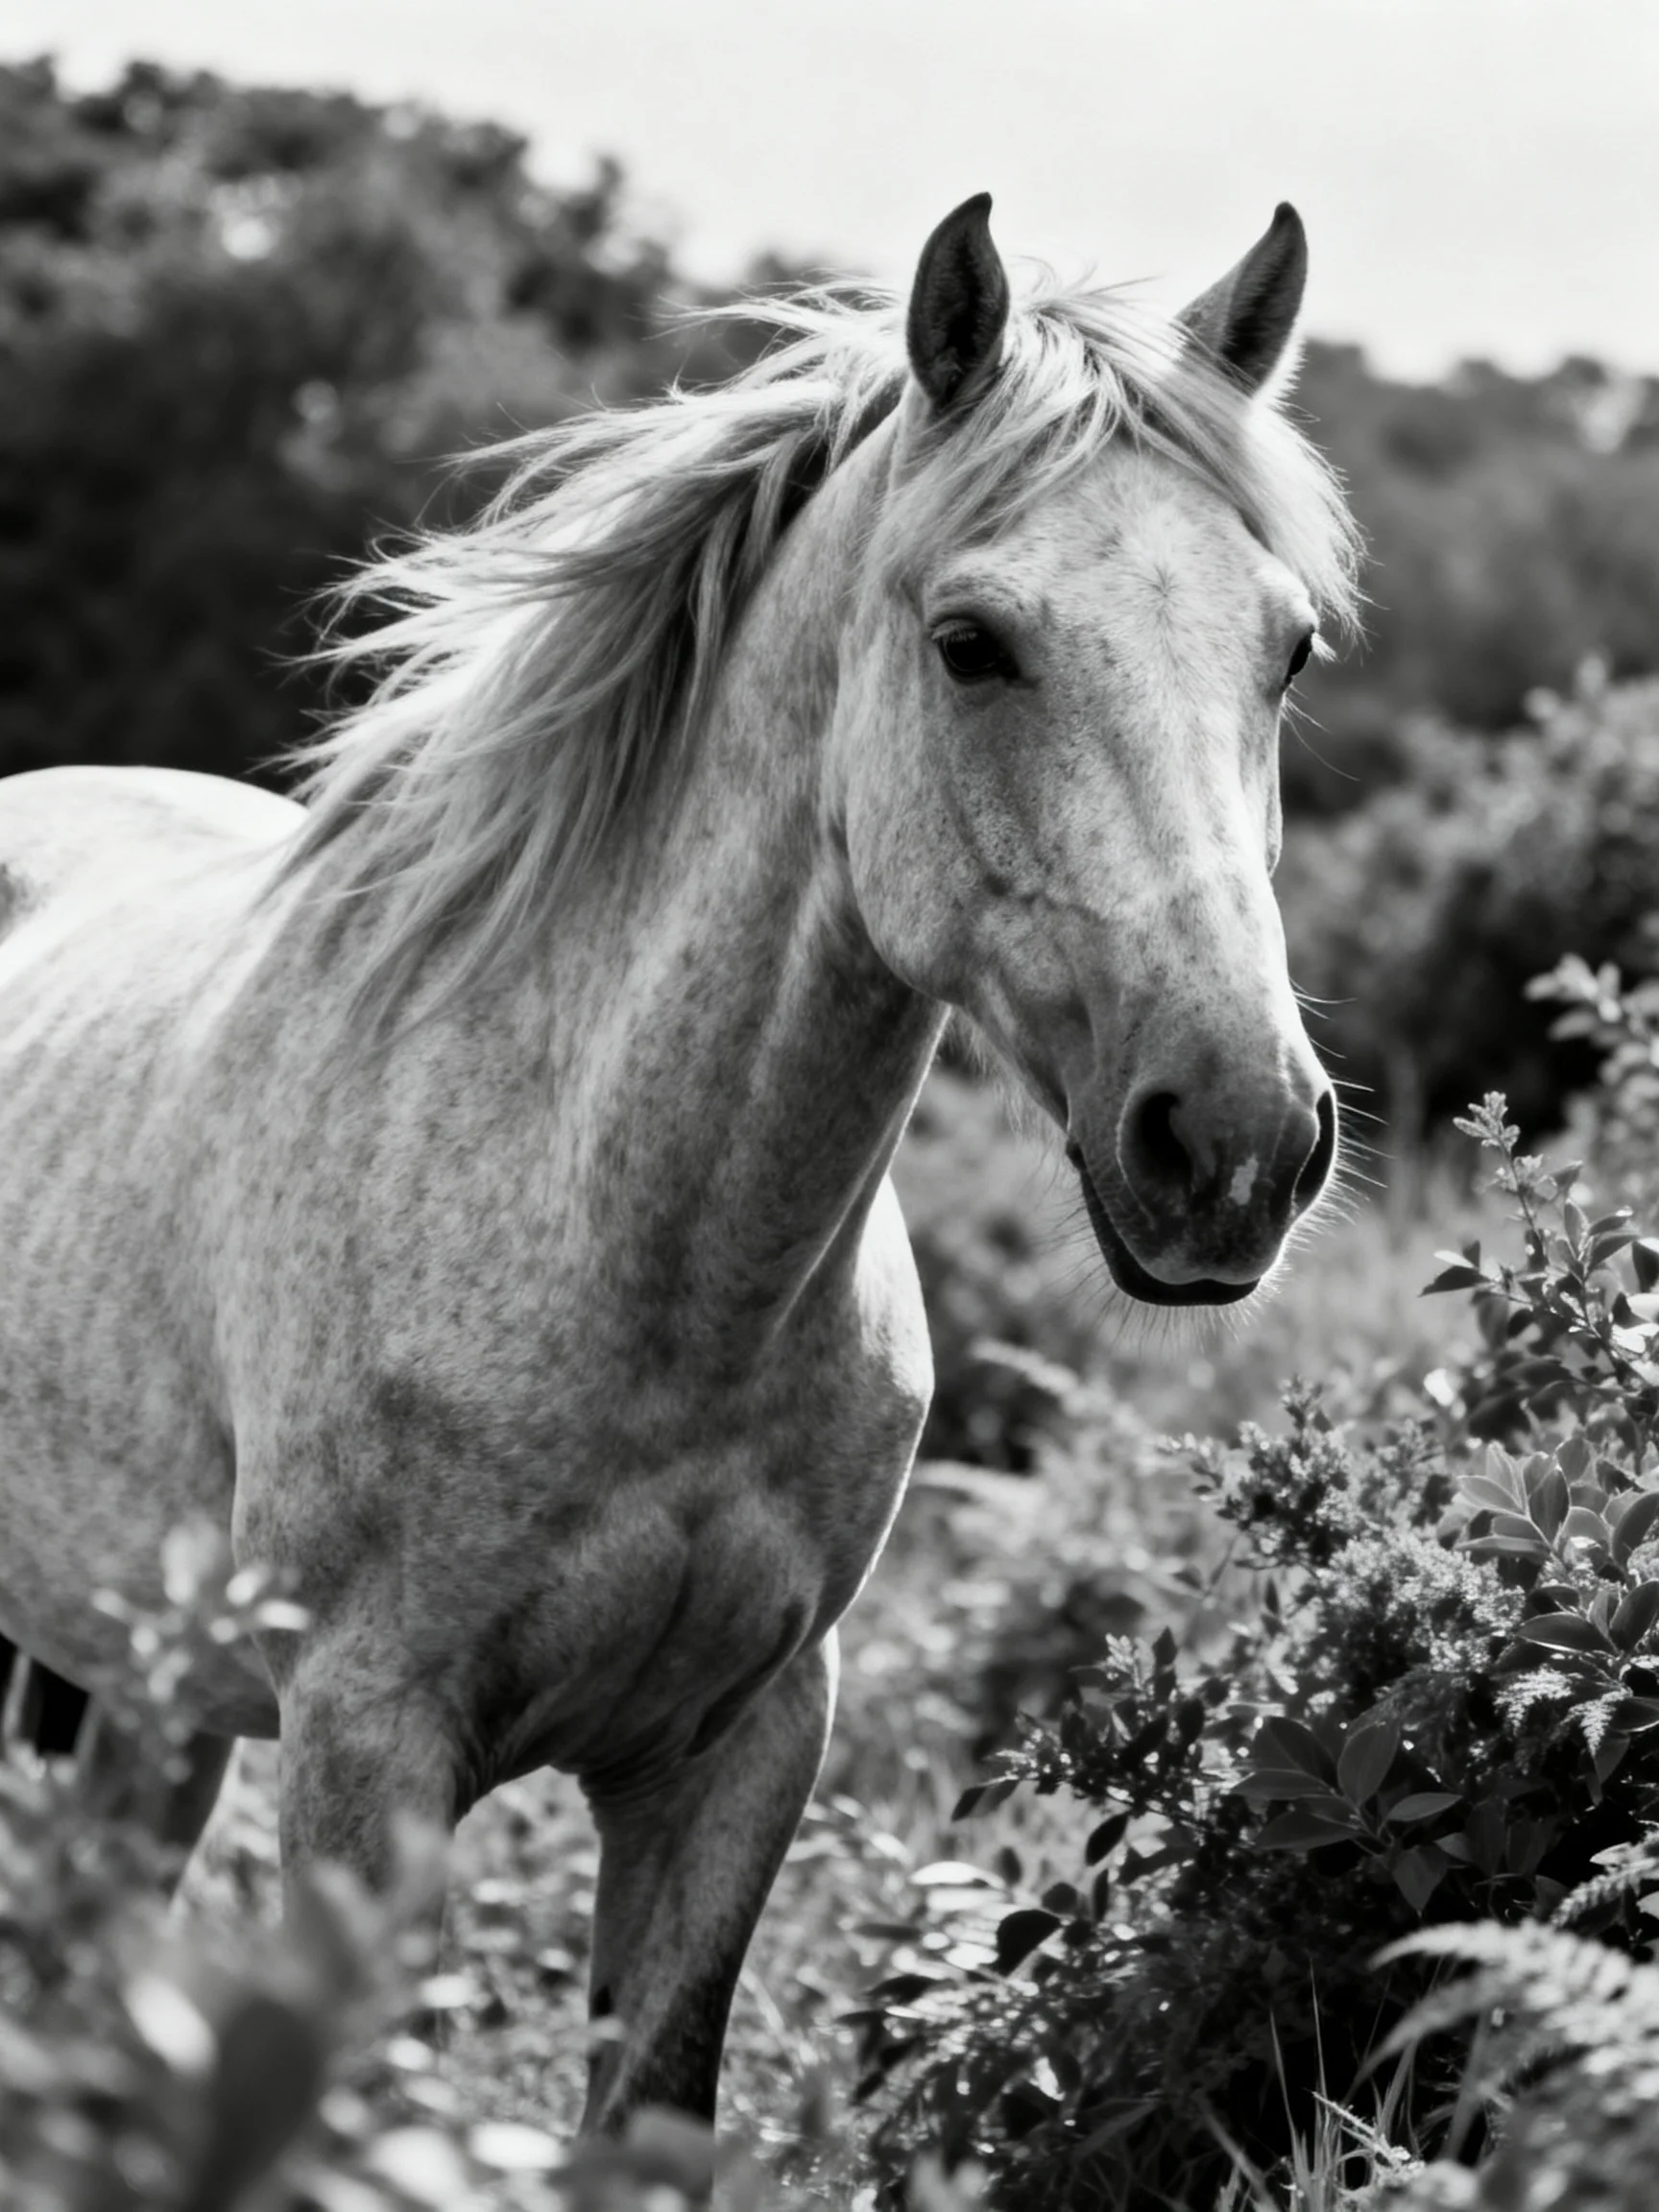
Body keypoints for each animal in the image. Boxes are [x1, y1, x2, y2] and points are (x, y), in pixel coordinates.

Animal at [0, 193, 1359, 2128]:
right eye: (971, 641)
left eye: (1288, 648)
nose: (1235, 1136)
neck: (633, 1254)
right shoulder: (362, 1738)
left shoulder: (742, 1746)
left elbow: (647, 2100)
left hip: (142, 1686)